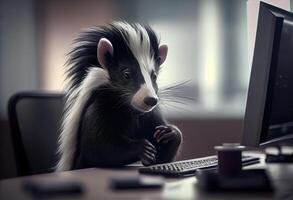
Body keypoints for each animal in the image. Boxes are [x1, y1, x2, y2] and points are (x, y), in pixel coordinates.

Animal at [56, 21, 181, 171]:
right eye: (126, 74)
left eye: (154, 75)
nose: (150, 100)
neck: (130, 112)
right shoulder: (100, 108)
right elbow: (98, 148)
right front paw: (144, 149)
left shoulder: (150, 116)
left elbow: (162, 159)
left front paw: (170, 132)